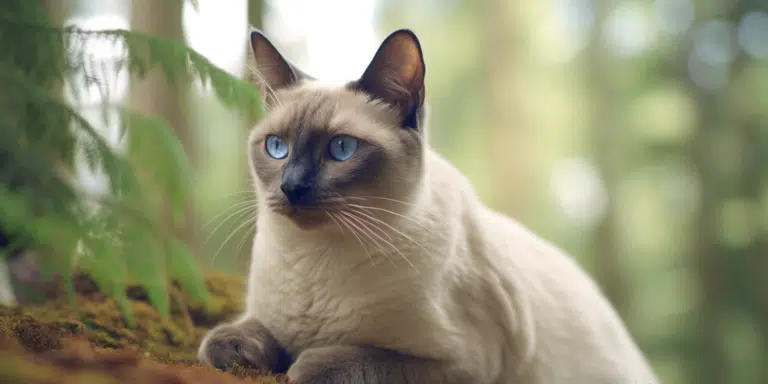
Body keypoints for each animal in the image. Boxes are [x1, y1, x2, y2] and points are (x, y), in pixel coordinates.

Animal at [195, 27, 656, 384]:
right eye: (277, 147)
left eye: (341, 149)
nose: (291, 187)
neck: (313, 261)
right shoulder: (262, 316)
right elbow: (224, 341)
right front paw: (240, 348)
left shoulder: (461, 364)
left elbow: (341, 361)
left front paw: (302, 363)